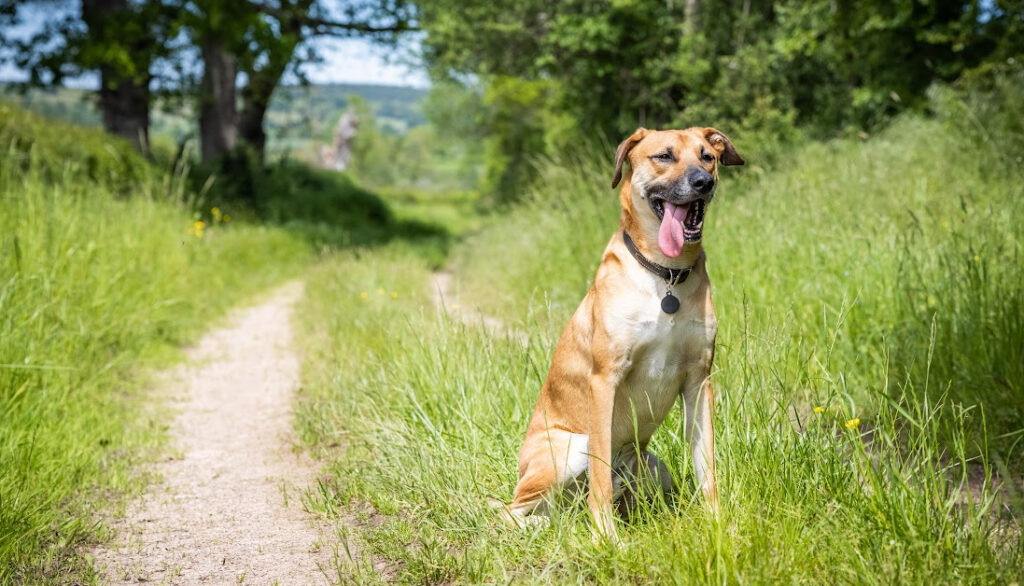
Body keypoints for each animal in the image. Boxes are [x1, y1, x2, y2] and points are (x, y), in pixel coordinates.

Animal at [491, 127, 741, 540]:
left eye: (707, 156)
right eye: (664, 156)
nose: (702, 183)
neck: (665, 275)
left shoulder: (699, 380)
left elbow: (708, 466)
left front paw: (717, 524)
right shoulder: (605, 378)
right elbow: (600, 481)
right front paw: (606, 538)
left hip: (654, 467)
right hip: (568, 451)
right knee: (511, 513)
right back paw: (549, 527)